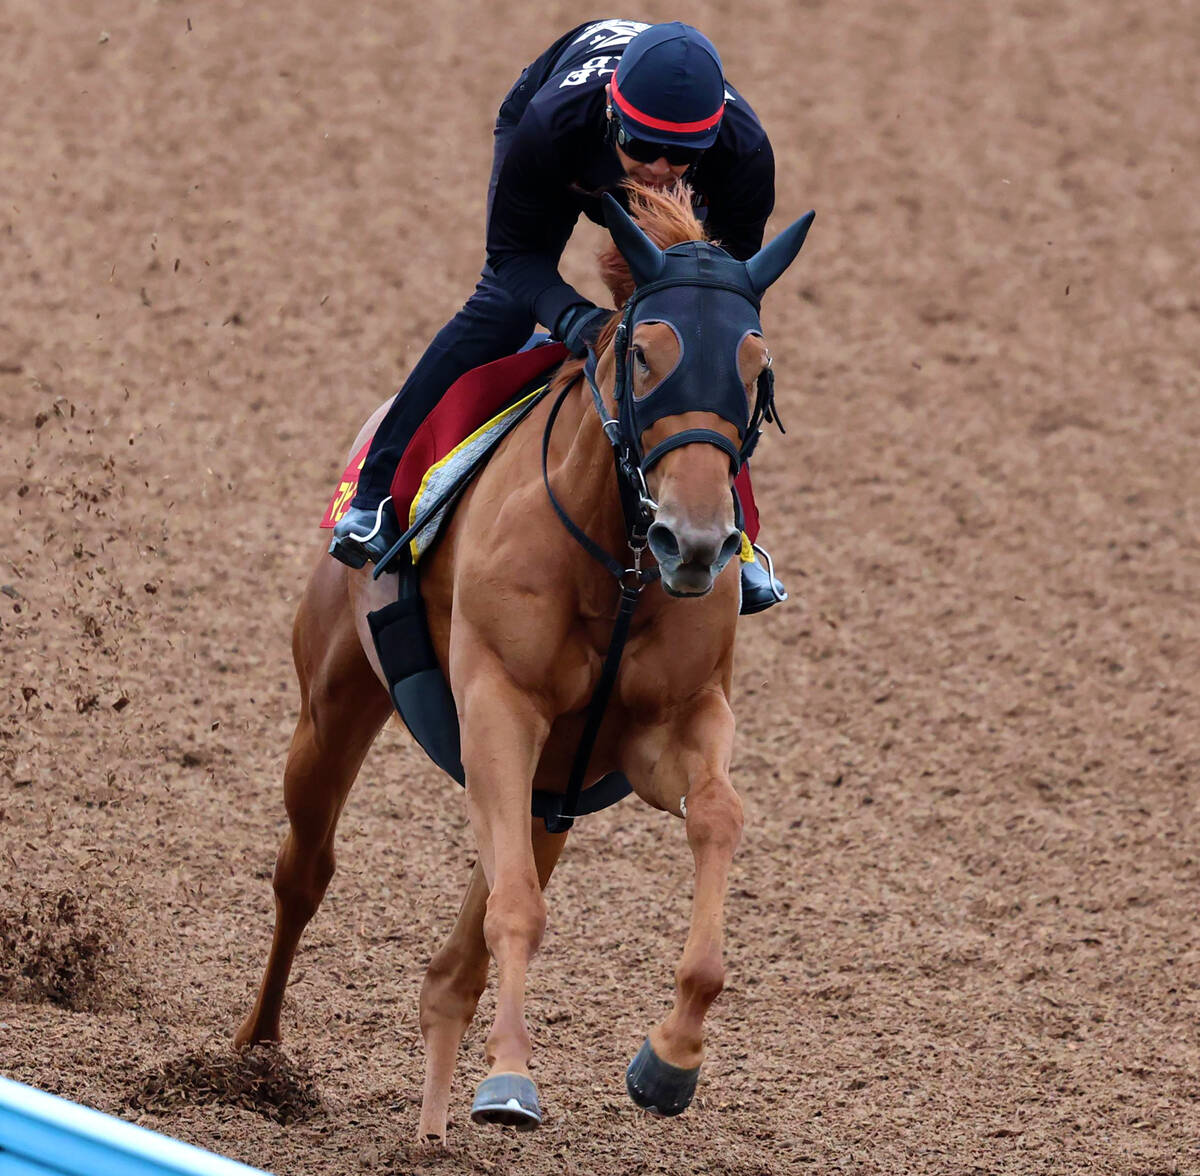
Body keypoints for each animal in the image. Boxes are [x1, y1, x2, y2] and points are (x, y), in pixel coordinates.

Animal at [234, 182, 814, 1141]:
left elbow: (717, 818)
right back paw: (254, 1053)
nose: (694, 541)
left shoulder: (669, 727)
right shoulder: (499, 707)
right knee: (304, 873)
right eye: (645, 354)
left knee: (449, 973)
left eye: (756, 366)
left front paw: (671, 1059)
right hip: (335, 704)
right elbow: (516, 907)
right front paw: (510, 1078)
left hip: (549, 796)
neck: (619, 568)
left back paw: (431, 1132)